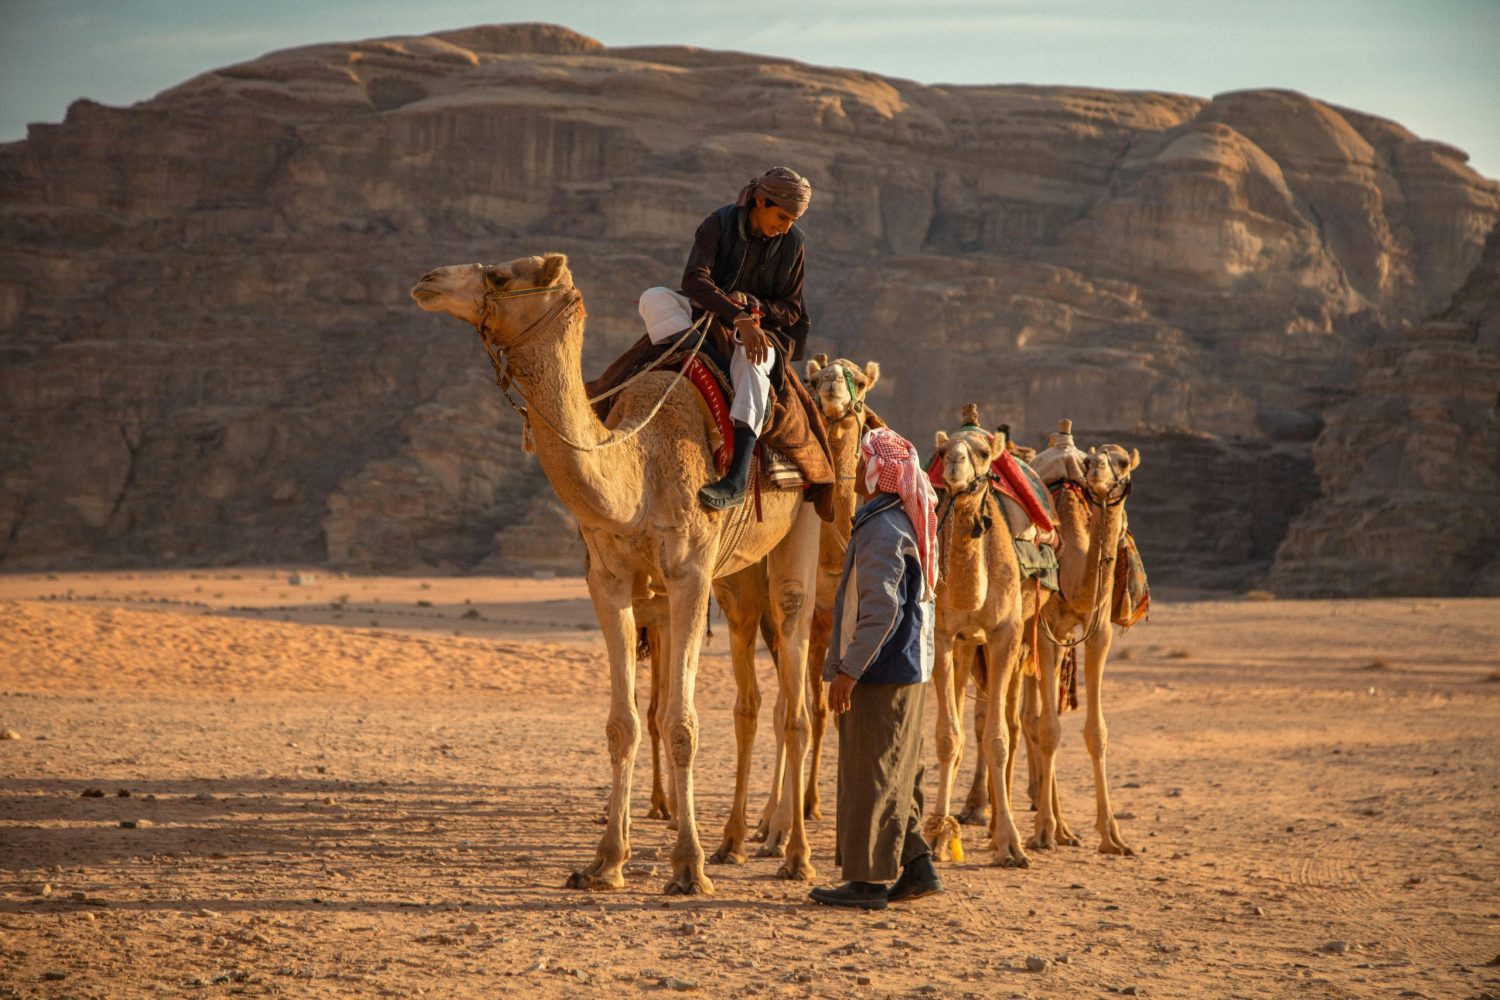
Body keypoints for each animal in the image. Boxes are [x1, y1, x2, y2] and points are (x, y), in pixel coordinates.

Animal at [412, 254, 820, 893]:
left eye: (501, 276)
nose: (427, 280)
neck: (641, 467)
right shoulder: (609, 580)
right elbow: (623, 723)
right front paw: (606, 861)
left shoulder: (688, 575)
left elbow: (680, 724)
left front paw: (688, 867)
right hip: (736, 576)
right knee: (759, 684)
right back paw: (741, 841)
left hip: (803, 521)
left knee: (795, 682)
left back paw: (795, 853)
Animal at [925, 404, 1052, 868]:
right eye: (943, 449)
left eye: (981, 453)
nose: (956, 465)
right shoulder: (946, 635)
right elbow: (949, 737)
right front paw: (938, 838)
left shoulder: (1005, 633)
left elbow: (999, 738)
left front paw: (1012, 844)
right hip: (967, 646)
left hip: (1025, 637)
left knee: (1011, 724)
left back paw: (1007, 824)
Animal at [1024, 420, 1140, 855]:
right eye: (1091, 461)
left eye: (1121, 460)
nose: (1097, 473)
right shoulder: (1046, 631)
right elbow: (1049, 729)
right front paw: (1042, 832)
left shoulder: (1098, 632)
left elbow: (1097, 732)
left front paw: (1112, 836)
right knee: (1029, 719)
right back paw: (1048, 824)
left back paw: (1064, 827)